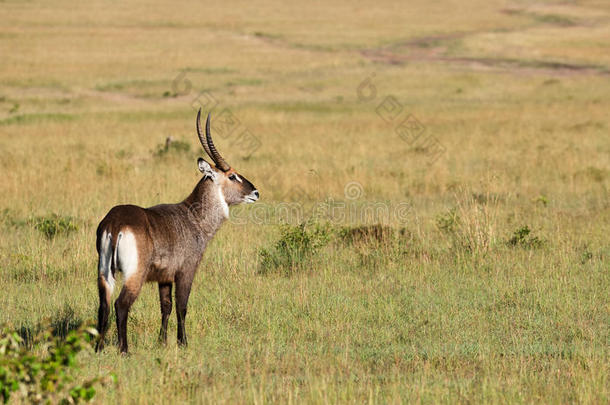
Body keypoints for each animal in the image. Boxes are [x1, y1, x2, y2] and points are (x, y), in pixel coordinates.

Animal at [95, 109, 258, 352]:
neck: (193, 217)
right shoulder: (186, 270)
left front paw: (162, 341)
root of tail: (115, 223)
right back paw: (124, 350)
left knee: (103, 306)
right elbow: (182, 306)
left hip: (105, 272)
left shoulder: (164, 277)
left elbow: (166, 306)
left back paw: (98, 348)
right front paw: (183, 342)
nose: (256, 192)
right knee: (121, 305)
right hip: (135, 274)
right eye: (232, 175)